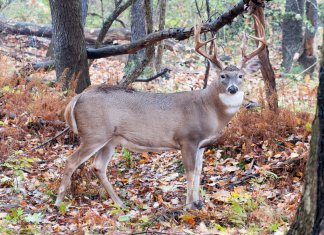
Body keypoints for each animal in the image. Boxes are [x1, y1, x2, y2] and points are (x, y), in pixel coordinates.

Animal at [53, 14, 266, 209]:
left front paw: (198, 203)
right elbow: (189, 172)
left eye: (241, 76)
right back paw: (58, 202)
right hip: (94, 133)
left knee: (98, 166)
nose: (233, 88)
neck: (209, 109)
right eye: (222, 76)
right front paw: (189, 206)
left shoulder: (202, 144)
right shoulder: (187, 138)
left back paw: (120, 204)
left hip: (110, 139)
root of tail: (77, 97)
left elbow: (198, 172)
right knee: (71, 161)